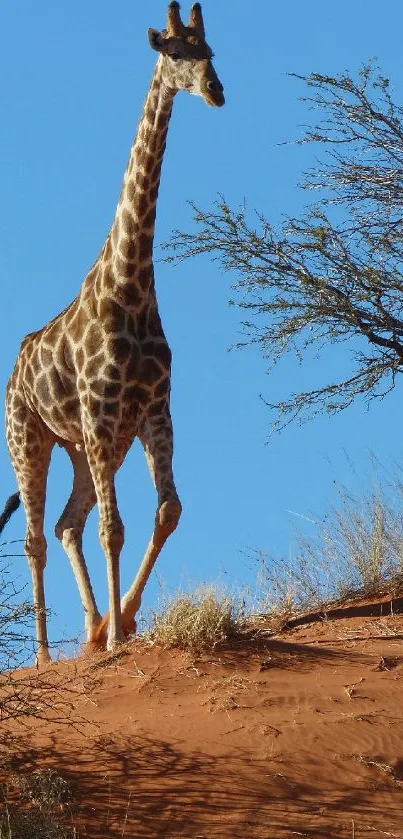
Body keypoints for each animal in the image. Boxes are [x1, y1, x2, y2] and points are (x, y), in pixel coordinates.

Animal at [5, 2, 224, 664]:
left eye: (211, 51)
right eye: (175, 52)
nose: (216, 91)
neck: (130, 284)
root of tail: (14, 368)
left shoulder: (152, 409)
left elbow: (167, 510)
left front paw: (119, 623)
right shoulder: (103, 415)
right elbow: (114, 526)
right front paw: (114, 639)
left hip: (84, 446)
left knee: (66, 524)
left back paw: (91, 629)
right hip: (29, 439)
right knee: (37, 536)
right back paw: (46, 656)